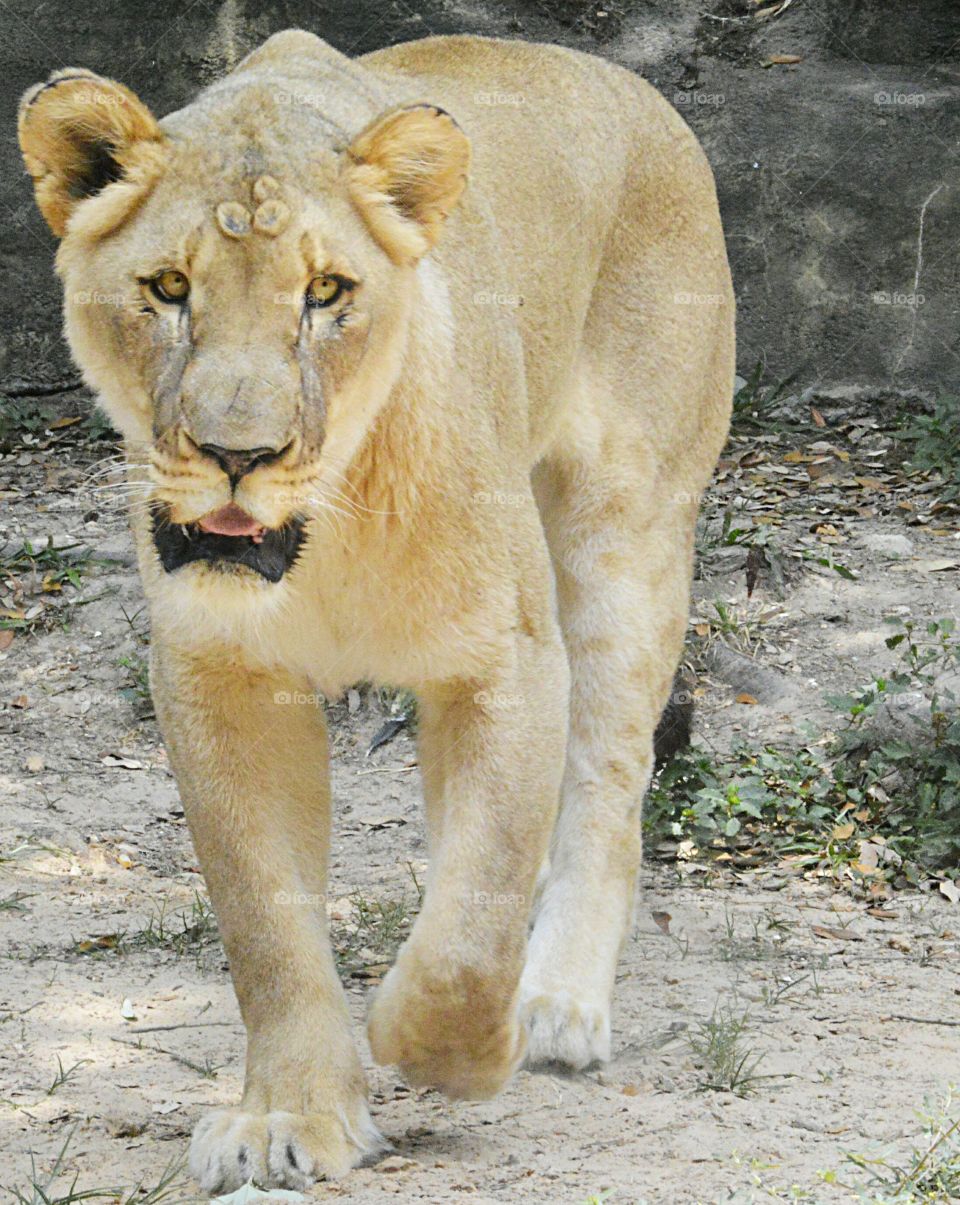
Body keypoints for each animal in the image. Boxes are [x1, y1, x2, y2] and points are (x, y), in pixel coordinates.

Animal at [19, 29, 733, 1193]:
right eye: (168, 287)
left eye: (326, 290)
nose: (241, 454)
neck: (324, 538)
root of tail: (625, 83)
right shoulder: (220, 678)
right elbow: (268, 924)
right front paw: (288, 1115)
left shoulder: (509, 660)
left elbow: (472, 927)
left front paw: (454, 1044)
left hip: (629, 531)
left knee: (605, 789)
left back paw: (557, 1003)